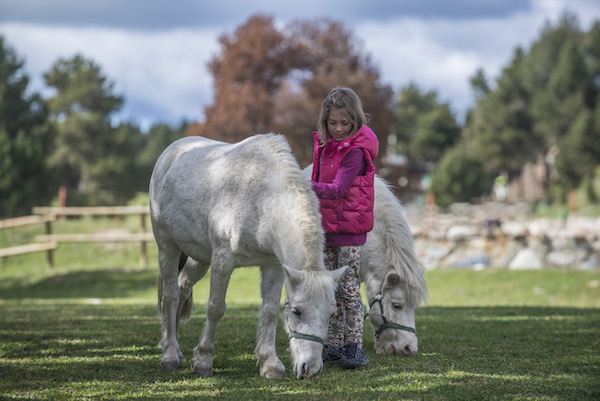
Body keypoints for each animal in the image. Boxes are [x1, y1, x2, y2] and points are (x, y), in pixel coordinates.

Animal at [150, 134, 344, 378]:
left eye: (332, 314)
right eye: (297, 311)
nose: (311, 369)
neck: (262, 199)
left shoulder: (273, 266)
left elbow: (270, 311)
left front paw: (269, 363)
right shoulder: (222, 262)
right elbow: (215, 308)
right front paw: (204, 361)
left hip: (199, 258)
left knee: (183, 287)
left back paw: (174, 346)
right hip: (167, 246)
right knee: (171, 295)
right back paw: (170, 354)